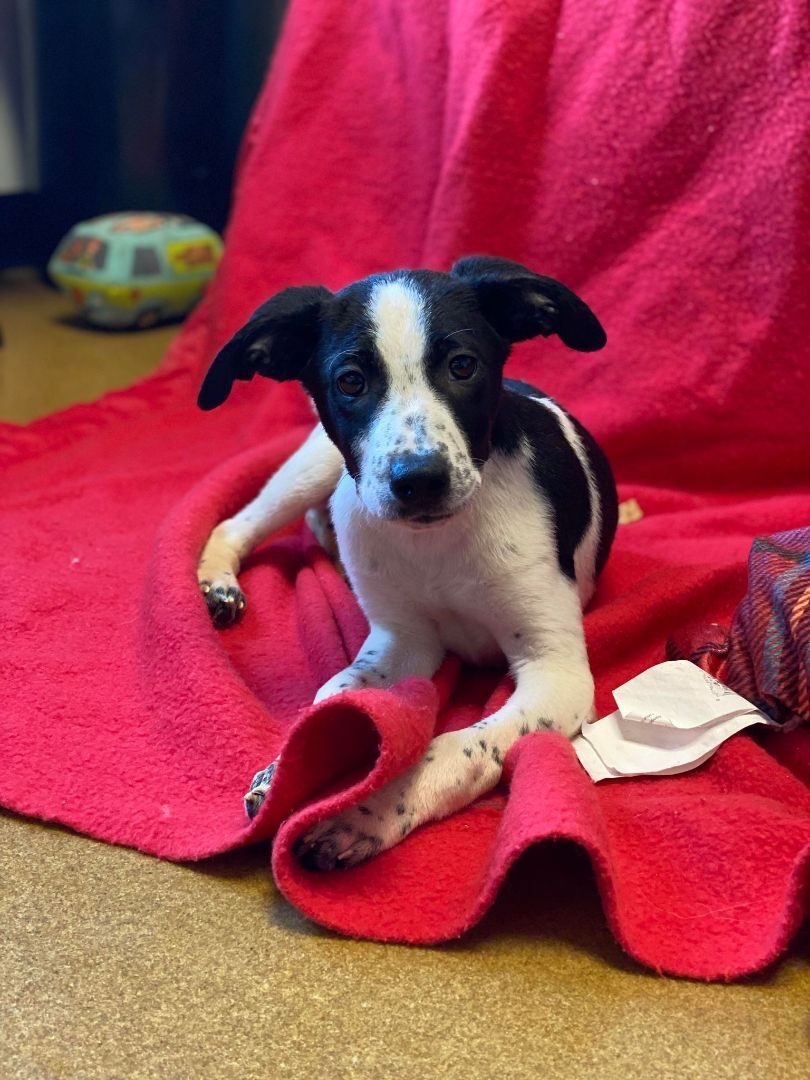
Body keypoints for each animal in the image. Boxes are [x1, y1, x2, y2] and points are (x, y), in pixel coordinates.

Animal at [199, 257, 617, 872]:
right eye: (350, 380)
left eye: (463, 366)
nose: (419, 480)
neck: (437, 543)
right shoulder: (401, 640)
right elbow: (332, 699)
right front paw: (284, 772)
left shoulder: (555, 670)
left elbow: (460, 744)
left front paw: (368, 811)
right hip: (317, 464)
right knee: (237, 522)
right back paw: (219, 583)